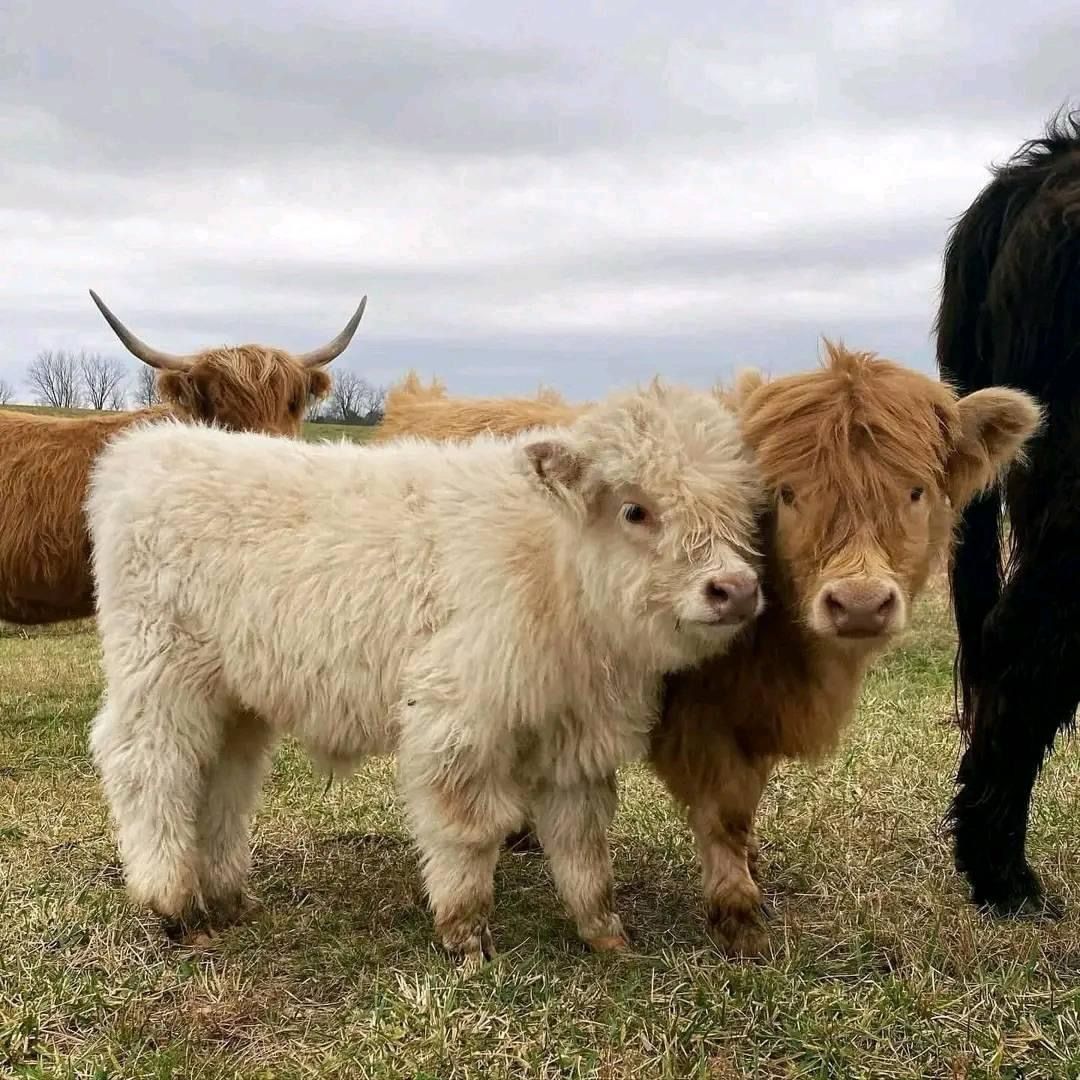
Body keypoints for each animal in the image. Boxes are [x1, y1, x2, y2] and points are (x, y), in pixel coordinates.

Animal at [86, 380, 765, 963]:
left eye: (734, 507)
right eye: (634, 510)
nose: (735, 588)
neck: (551, 563)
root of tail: (148, 452)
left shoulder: (576, 737)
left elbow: (583, 845)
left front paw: (606, 935)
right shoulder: (456, 720)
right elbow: (469, 832)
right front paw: (466, 938)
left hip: (234, 699)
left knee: (222, 778)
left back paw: (226, 897)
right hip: (160, 674)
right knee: (148, 766)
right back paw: (174, 903)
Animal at [375, 344, 1041, 953]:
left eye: (915, 491)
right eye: (787, 495)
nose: (857, 604)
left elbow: (743, 812)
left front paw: (752, 873)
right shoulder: (703, 722)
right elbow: (722, 813)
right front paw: (737, 913)